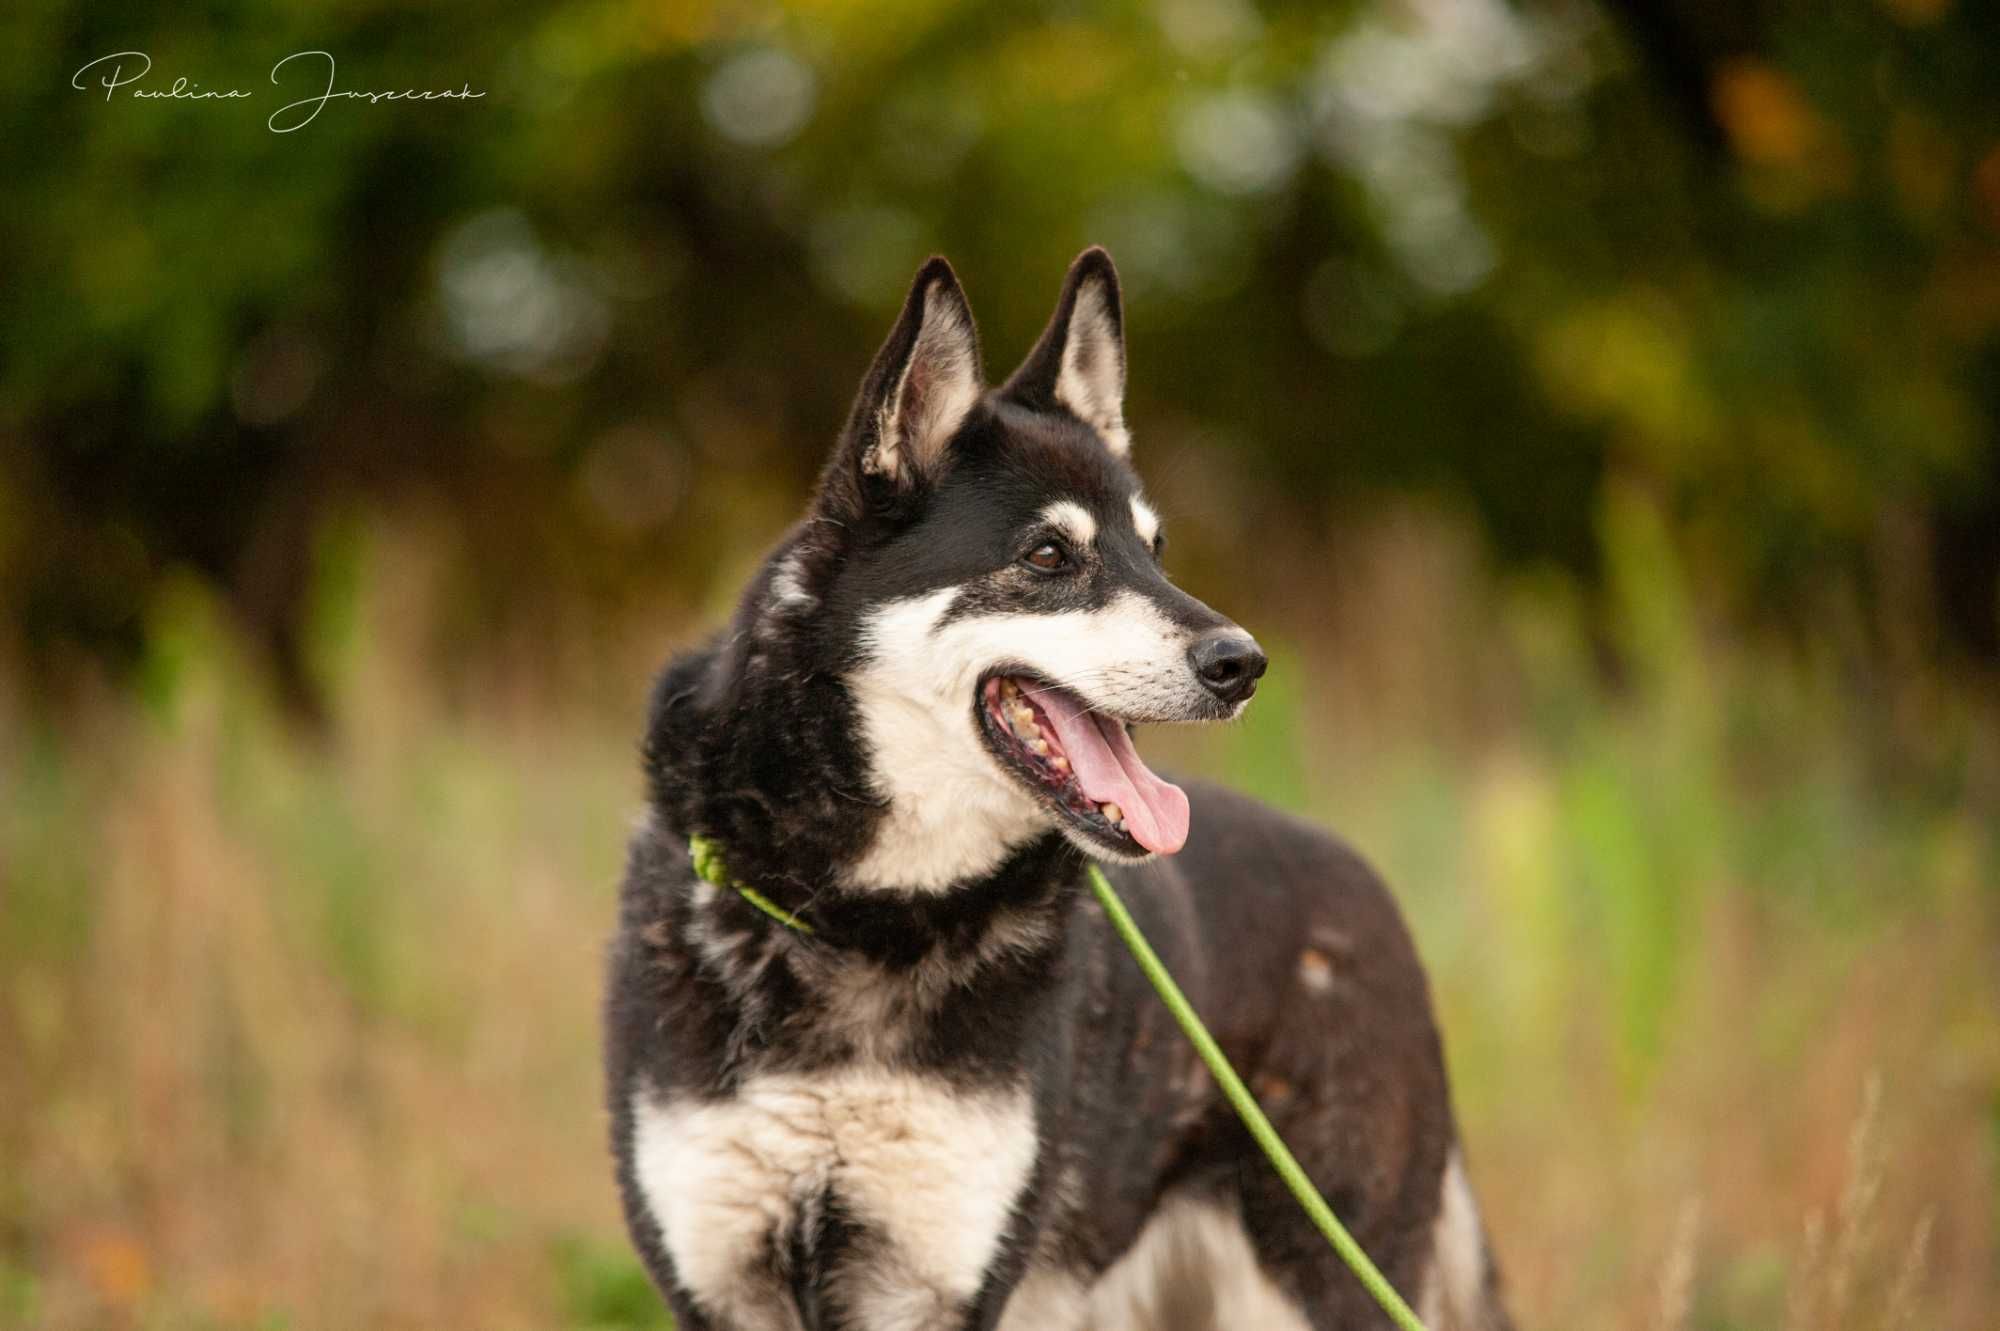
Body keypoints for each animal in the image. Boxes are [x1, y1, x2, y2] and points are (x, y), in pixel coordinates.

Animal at [600, 248, 1504, 1327]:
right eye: (1047, 555)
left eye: (1153, 551)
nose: (1243, 663)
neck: (861, 914)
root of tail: (1366, 890)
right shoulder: (724, 1280)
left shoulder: (933, 1284)